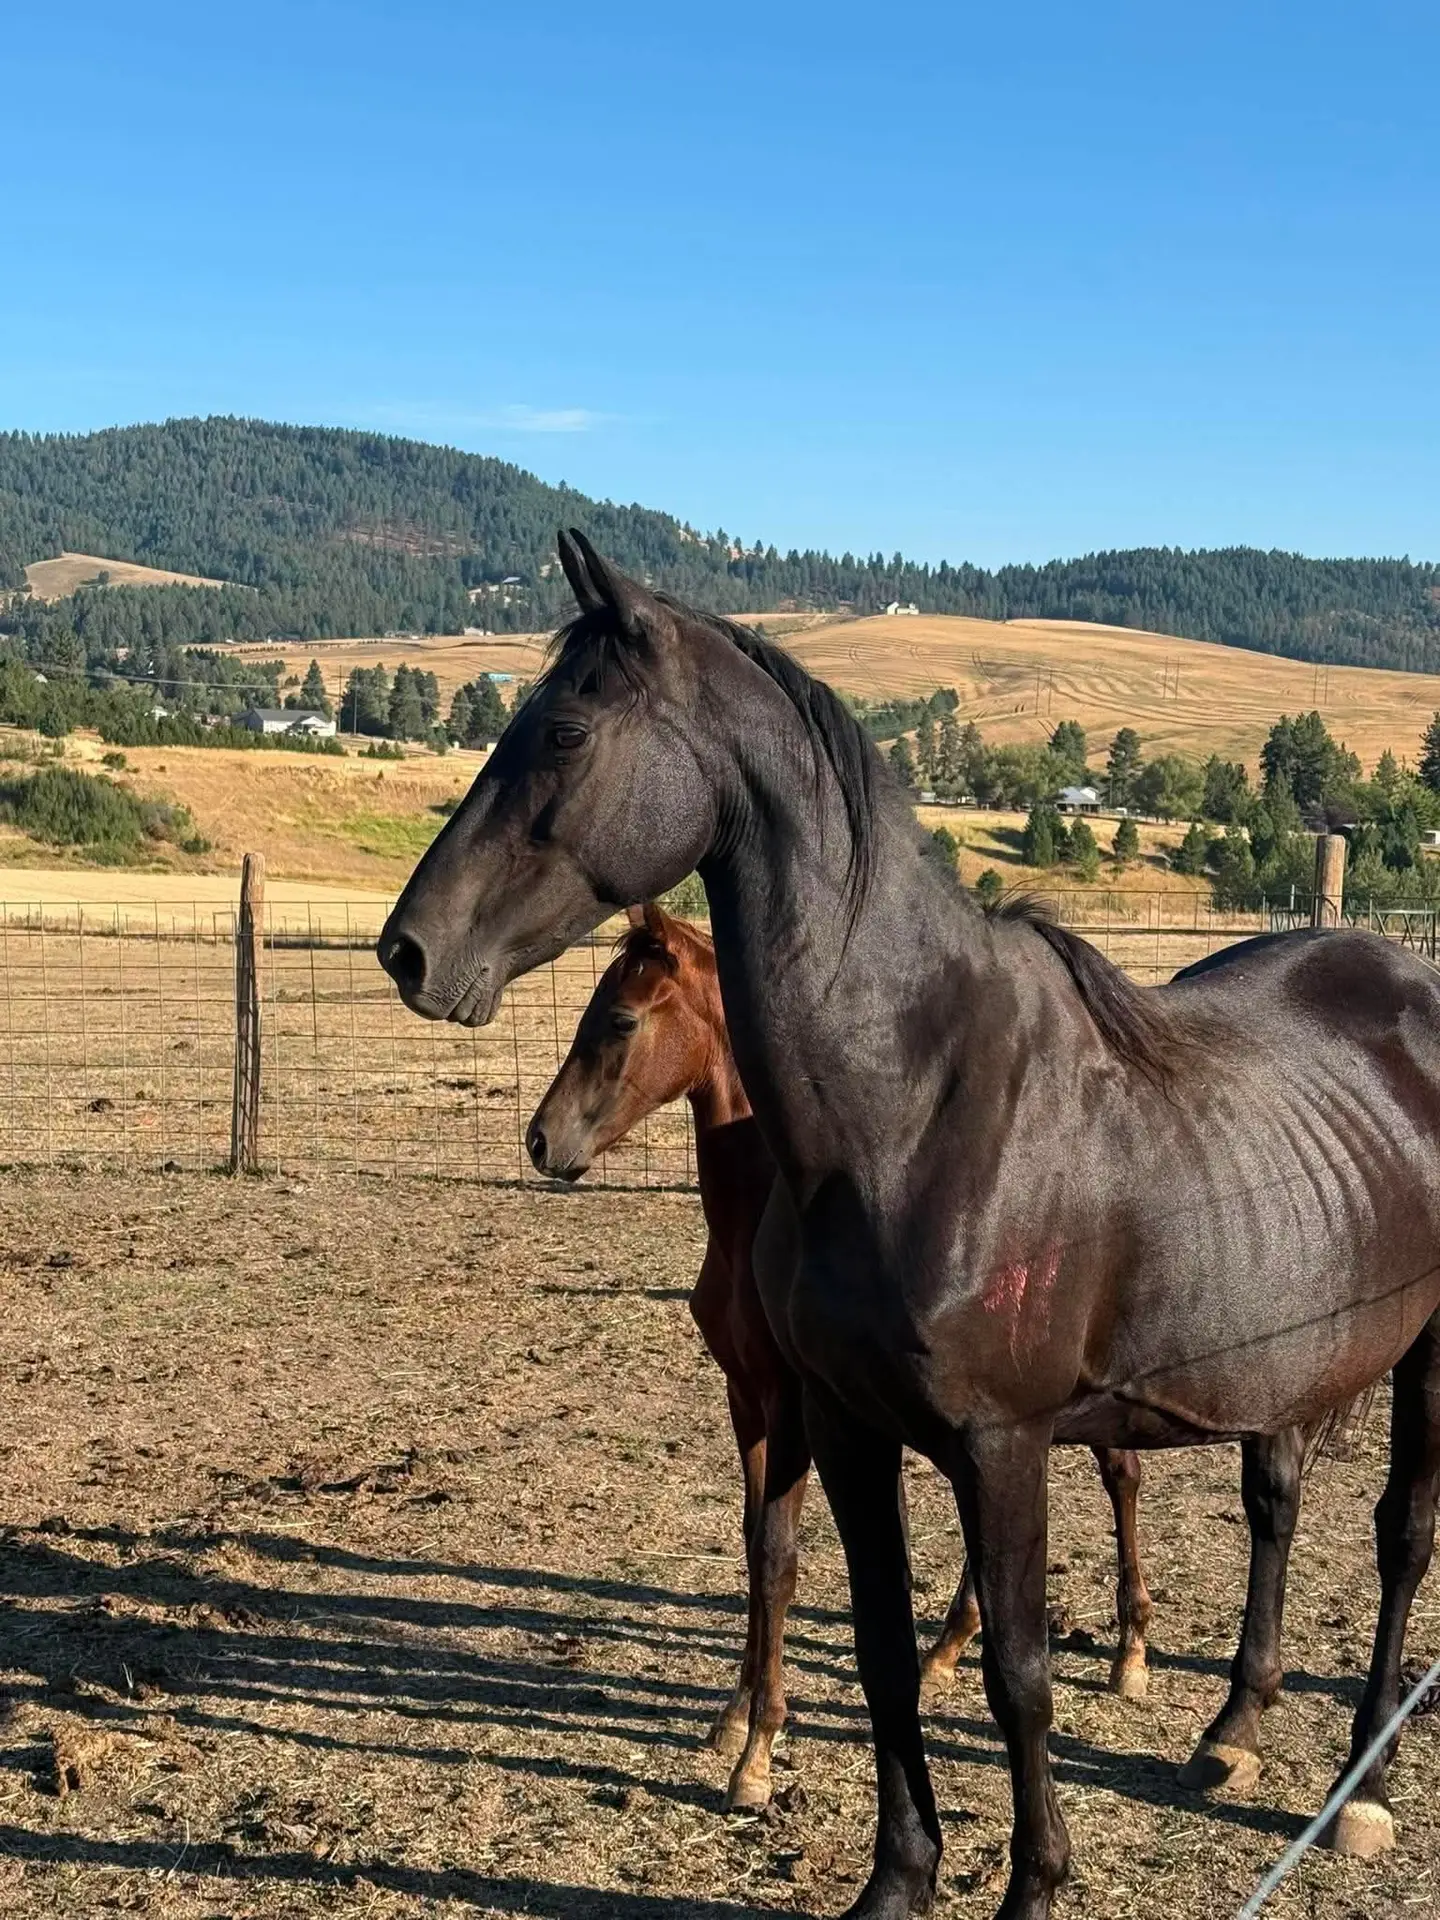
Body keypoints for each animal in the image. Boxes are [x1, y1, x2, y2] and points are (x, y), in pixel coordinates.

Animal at [528, 903, 1155, 1805]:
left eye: (620, 1018)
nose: (541, 1141)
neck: (758, 1213)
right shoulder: (745, 1398)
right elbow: (753, 1541)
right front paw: (732, 1716)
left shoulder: (795, 1403)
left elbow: (778, 1555)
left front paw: (757, 1751)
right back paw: (952, 1647)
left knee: (1122, 1476)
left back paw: (1130, 1656)